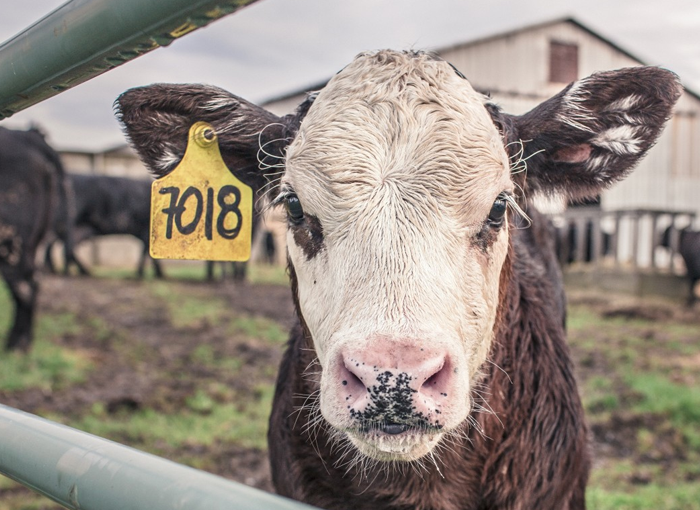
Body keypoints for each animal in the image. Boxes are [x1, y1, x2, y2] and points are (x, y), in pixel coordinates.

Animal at [0, 126, 70, 352]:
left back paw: (17, 344)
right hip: (35, 241)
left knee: (24, 286)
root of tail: (27, 135)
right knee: (33, 280)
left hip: (11, 240)